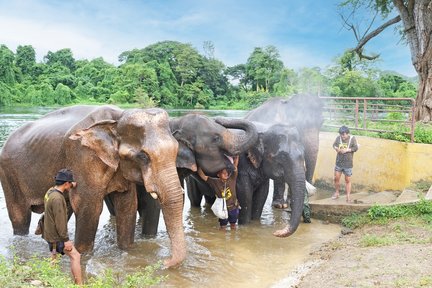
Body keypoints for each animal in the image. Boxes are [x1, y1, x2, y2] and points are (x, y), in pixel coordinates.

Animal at [0, 105, 186, 268]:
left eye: (177, 150)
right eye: (143, 156)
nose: (164, 262)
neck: (117, 118)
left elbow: (127, 206)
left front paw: (126, 251)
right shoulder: (83, 157)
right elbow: (89, 209)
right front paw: (83, 256)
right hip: (9, 175)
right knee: (20, 217)